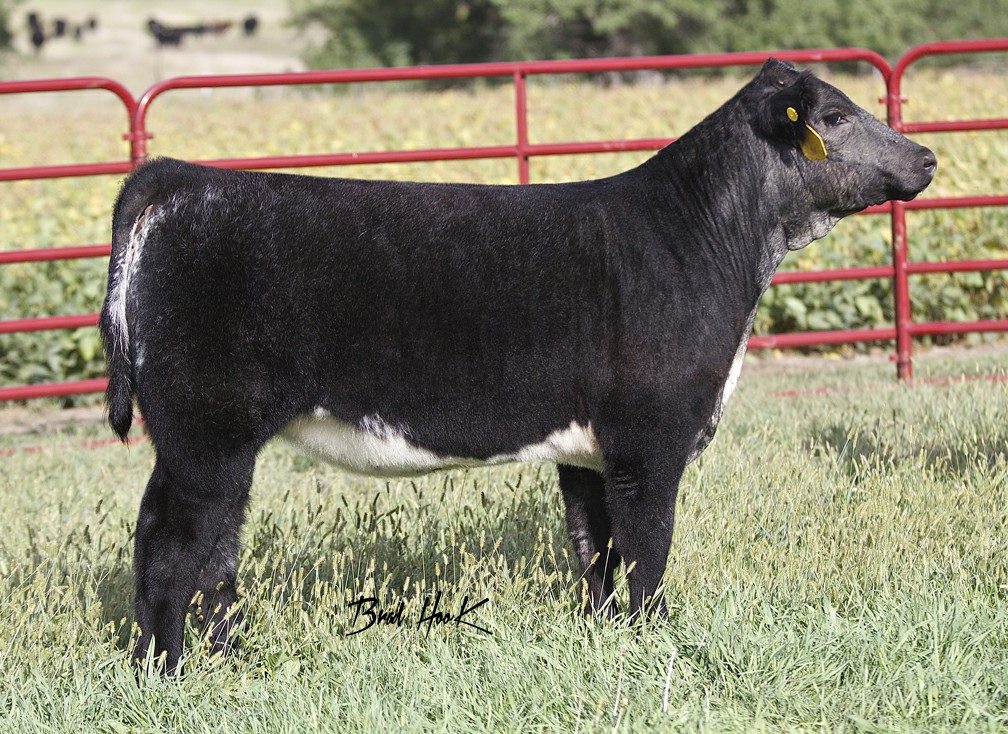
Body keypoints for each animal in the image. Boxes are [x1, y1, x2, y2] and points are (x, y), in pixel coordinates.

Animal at [99, 59, 935, 673]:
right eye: (833, 117)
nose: (926, 155)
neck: (695, 239)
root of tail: (180, 179)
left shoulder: (590, 452)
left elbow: (596, 553)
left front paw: (605, 637)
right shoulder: (650, 441)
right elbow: (648, 553)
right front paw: (656, 641)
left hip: (212, 448)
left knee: (207, 550)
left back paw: (219, 658)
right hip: (206, 436)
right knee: (172, 551)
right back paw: (168, 672)